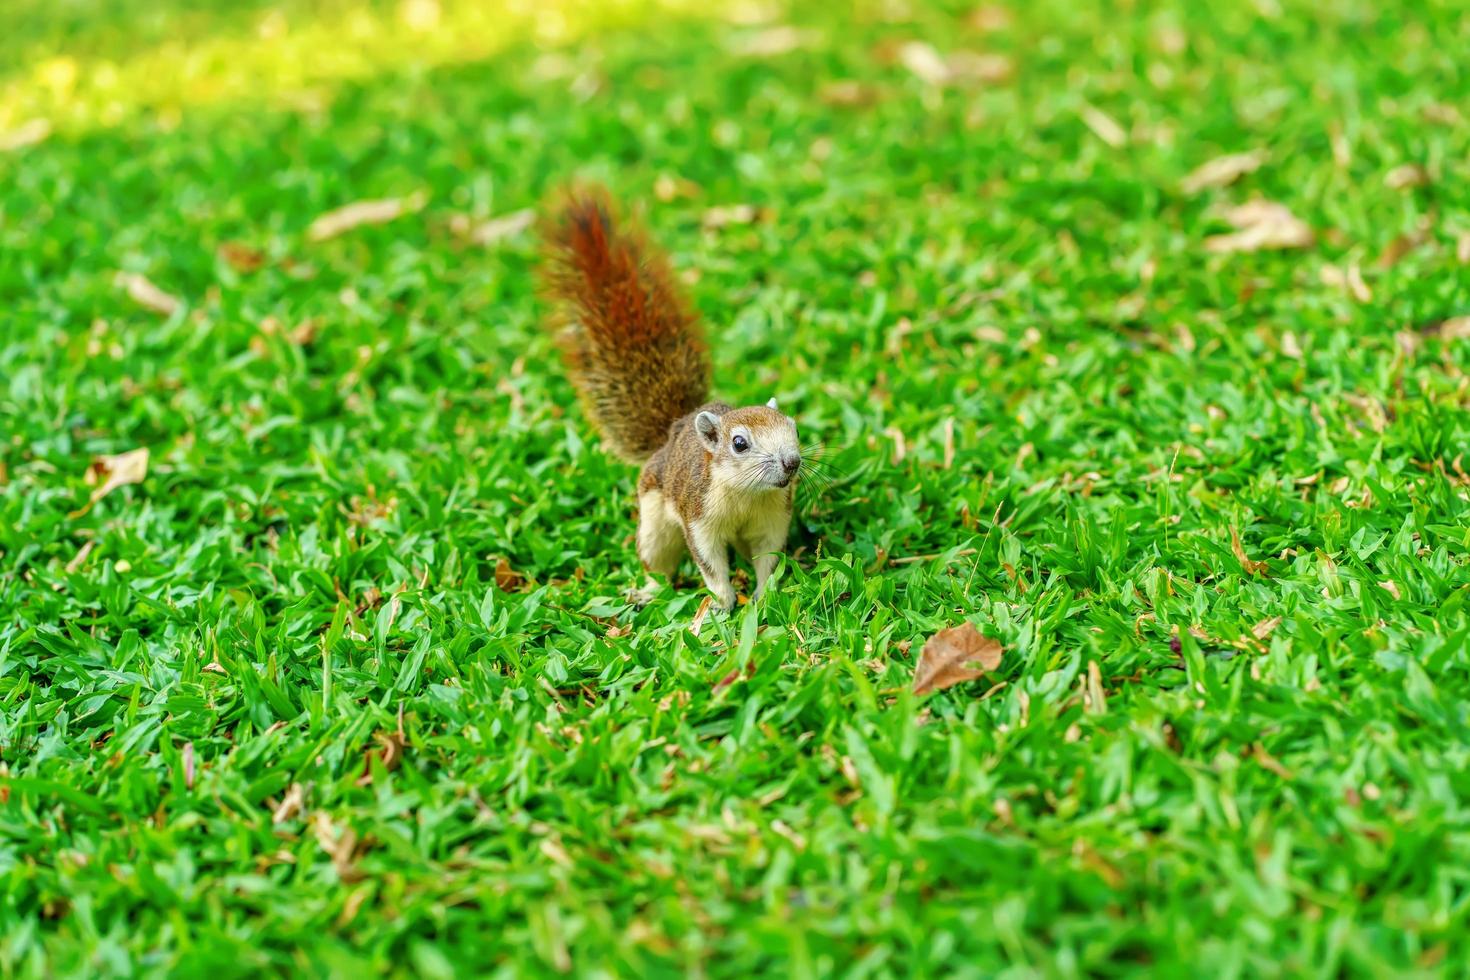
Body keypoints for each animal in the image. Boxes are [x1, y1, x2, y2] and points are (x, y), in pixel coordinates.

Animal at [538, 188, 799, 608]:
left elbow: (768, 558)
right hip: (654, 520)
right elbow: (709, 562)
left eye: (794, 428)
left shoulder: (772, 519)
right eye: (739, 443)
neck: (746, 496)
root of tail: (676, 428)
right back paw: (648, 592)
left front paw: (763, 597)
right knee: (658, 561)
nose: (792, 463)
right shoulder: (698, 516)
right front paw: (723, 604)